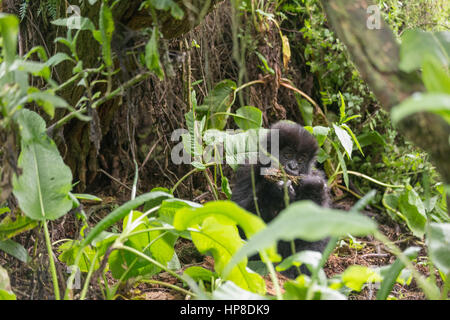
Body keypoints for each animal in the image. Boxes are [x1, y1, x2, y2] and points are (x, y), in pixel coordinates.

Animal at [232, 120, 330, 278]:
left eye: (301, 159)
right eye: (288, 154)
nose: (293, 167)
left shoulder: (319, 178)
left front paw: (312, 187)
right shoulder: (247, 170)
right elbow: (239, 213)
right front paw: (274, 190)